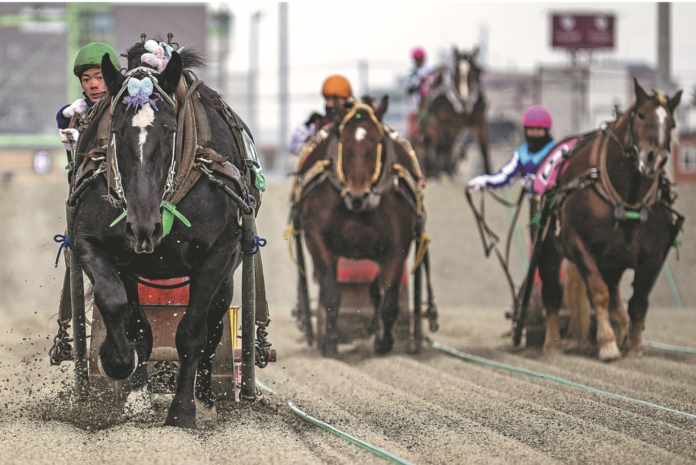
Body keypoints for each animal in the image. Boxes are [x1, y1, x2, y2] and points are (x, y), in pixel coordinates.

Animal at [73, 45, 260, 426]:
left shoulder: (218, 254)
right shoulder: (93, 242)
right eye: (116, 129)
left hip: (227, 272)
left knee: (214, 325)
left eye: (170, 129)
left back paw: (205, 397)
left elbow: (192, 334)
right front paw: (119, 365)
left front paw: (183, 411)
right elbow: (118, 306)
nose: (144, 227)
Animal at [292, 96, 432, 358]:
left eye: (376, 142)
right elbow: (331, 293)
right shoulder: (317, 237)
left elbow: (389, 299)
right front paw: (330, 344)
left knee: (377, 292)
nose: (359, 194)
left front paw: (384, 342)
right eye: (344, 143)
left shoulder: (397, 245)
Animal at [414, 45, 490, 176]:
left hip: (454, 127)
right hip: (427, 116)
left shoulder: (479, 121)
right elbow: (439, 145)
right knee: (428, 139)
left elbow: (484, 148)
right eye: (457, 72)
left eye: (475, 70)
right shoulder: (441, 121)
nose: (464, 97)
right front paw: (437, 170)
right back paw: (430, 166)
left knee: (449, 143)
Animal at [532, 80, 684, 360]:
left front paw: (633, 346)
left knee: (615, 293)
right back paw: (553, 344)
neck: (627, 197)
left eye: (671, 123)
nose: (654, 158)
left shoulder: (654, 252)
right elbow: (598, 292)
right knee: (552, 292)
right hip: (548, 247)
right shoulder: (577, 242)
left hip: (613, 259)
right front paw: (608, 344)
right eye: (641, 115)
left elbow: (639, 300)